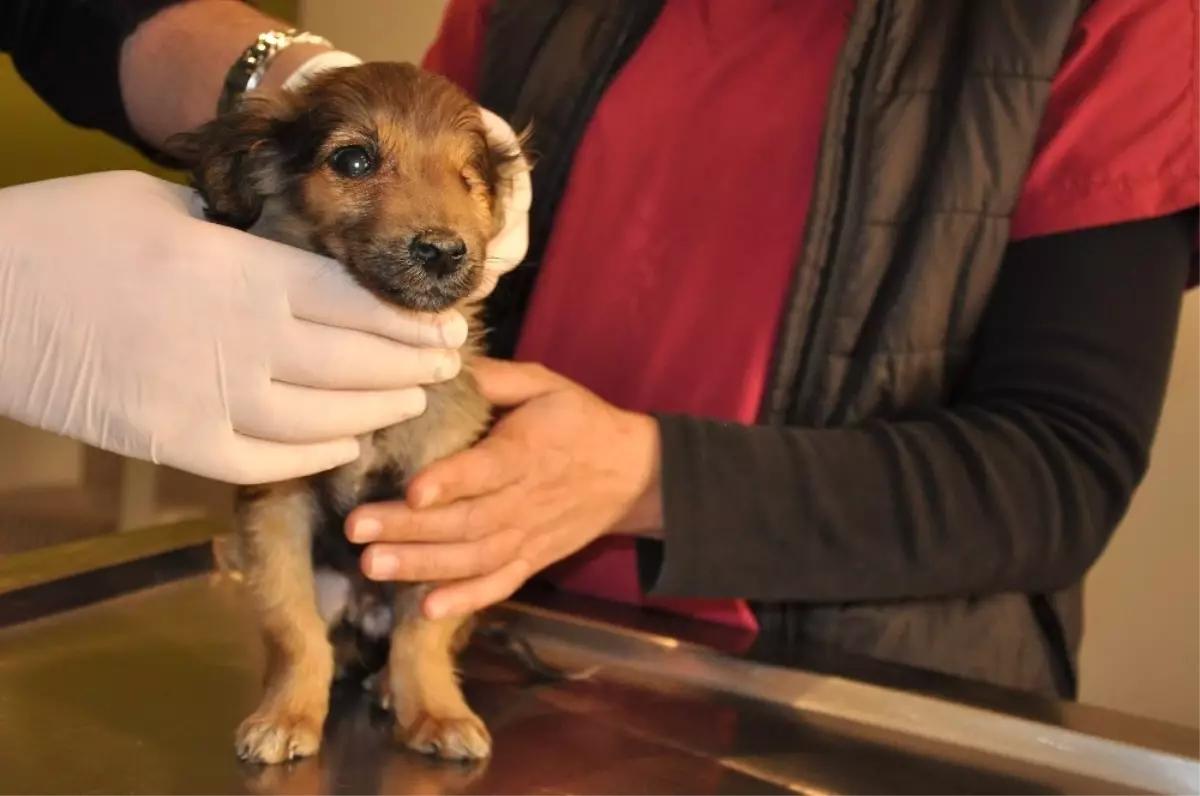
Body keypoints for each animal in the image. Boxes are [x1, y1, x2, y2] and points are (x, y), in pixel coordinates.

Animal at [166, 62, 528, 768]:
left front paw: (436, 712)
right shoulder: (276, 510)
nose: (444, 251)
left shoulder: (435, 524)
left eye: (468, 179)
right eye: (354, 160)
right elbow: (293, 626)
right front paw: (287, 713)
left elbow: (423, 636)